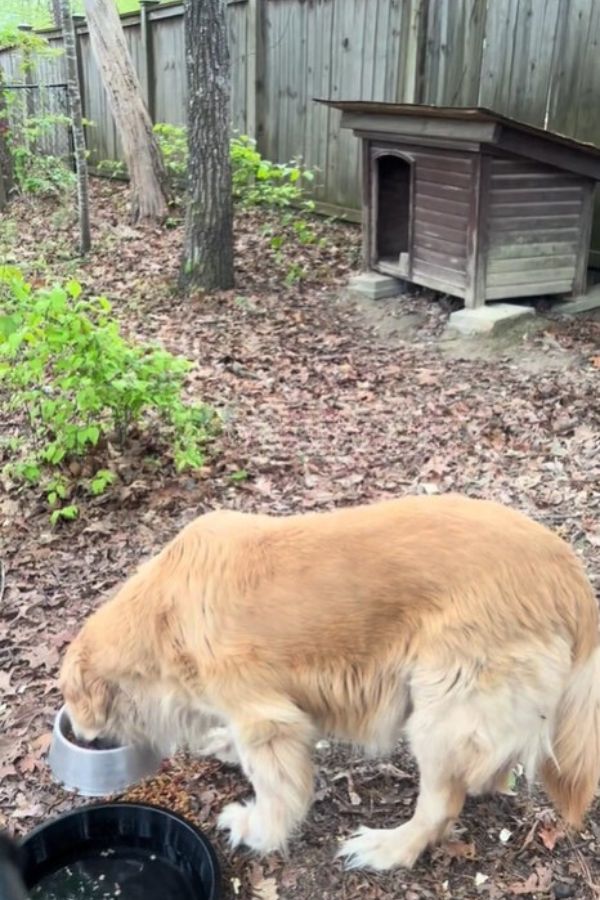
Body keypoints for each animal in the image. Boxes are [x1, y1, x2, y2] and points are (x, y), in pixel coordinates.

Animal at [59, 496, 600, 868]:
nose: (79, 734)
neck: (165, 615)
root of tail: (570, 577)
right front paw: (222, 745)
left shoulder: (266, 720)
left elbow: (273, 786)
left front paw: (258, 829)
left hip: (442, 708)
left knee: (441, 803)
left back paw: (389, 847)